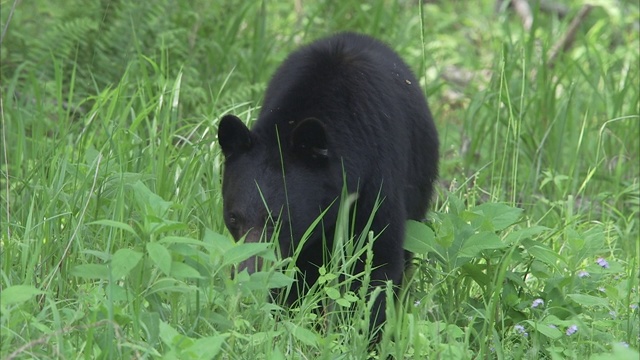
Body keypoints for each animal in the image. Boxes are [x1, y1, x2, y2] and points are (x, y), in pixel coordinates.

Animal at [218, 32, 438, 336]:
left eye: (278, 220)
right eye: (233, 218)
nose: (248, 278)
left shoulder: (378, 177)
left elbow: (377, 261)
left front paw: (361, 333)